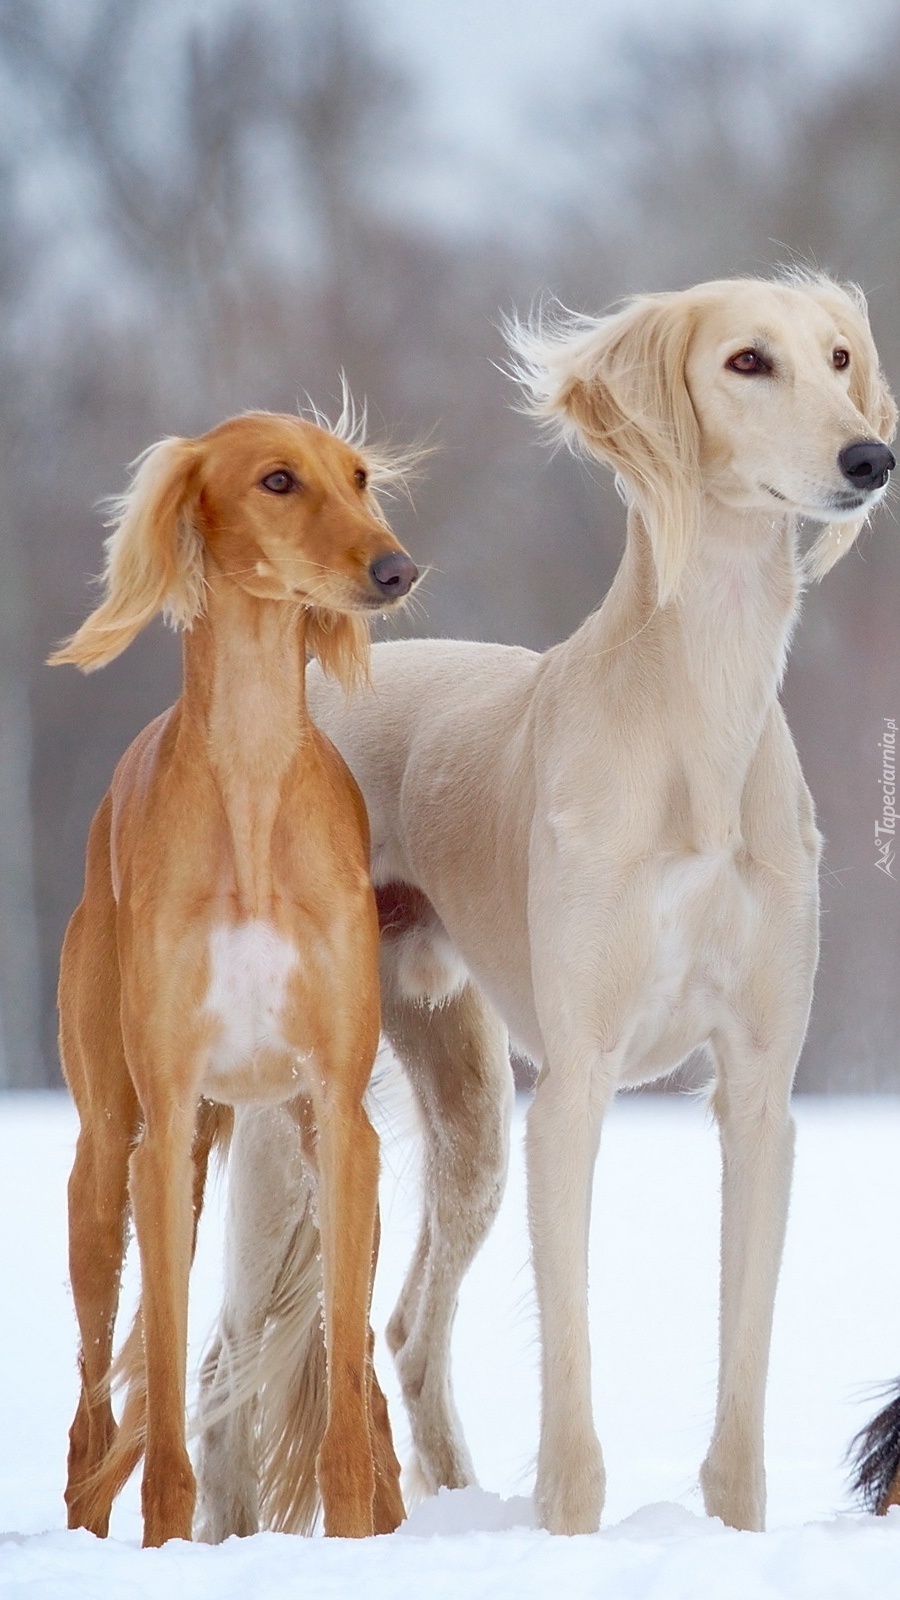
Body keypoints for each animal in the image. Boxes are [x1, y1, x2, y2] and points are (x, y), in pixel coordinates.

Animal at [49, 406, 413, 1542]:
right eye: (277, 480)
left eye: (359, 476)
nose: (396, 569)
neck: (252, 781)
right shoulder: (165, 1130)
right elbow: (160, 1400)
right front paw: (168, 1534)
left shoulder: (340, 1117)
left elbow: (344, 1391)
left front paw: (354, 1528)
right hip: (105, 1163)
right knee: (92, 1403)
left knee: (364, 1378)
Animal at [194, 275, 890, 1536]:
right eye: (747, 361)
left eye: (840, 357)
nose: (873, 457)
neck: (696, 718)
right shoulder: (575, 1083)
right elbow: (569, 1357)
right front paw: (567, 1525)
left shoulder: (761, 1088)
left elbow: (743, 1366)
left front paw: (732, 1528)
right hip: (292, 1118)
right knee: (231, 1355)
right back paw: (220, 1538)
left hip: (466, 1108)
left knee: (408, 1327)